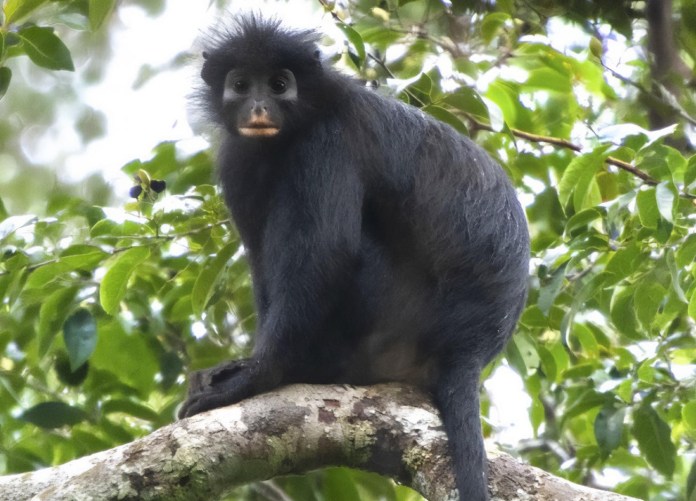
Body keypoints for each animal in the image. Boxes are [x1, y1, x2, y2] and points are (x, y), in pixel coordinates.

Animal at [179, 15, 529, 501]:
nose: (259, 108)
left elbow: (327, 253)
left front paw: (261, 375)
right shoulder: (238, 159)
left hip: (389, 318)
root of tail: (470, 347)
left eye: (279, 85)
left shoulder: (327, 142)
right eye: (241, 85)